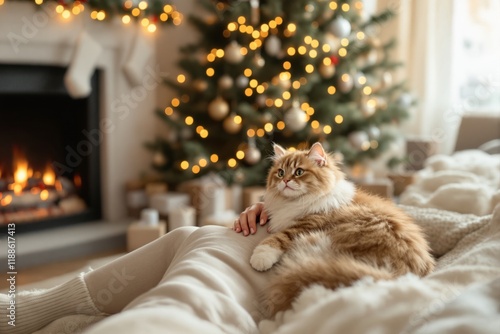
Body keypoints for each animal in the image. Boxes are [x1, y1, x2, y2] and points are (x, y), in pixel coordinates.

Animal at [252, 142, 436, 318]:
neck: (294, 203)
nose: (285, 181)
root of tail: (402, 276)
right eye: (280, 173)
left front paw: (260, 257)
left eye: (299, 172)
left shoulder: (307, 225)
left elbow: (277, 238)